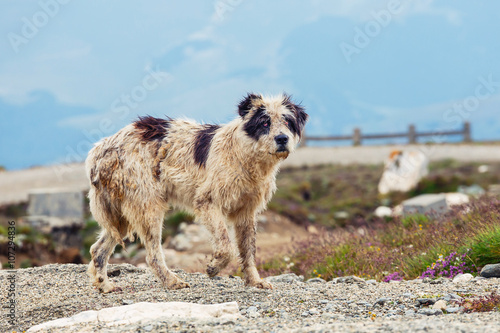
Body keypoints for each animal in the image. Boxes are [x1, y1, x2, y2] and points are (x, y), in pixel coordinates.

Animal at [87, 91, 308, 290]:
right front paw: (214, 267)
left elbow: (248, 251)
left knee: (97, 250)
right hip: (147, 207)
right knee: (152, 255)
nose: (282, 139)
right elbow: (226, 247)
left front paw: (255, 281)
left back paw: (105, 285)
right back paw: (172, 281)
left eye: (288, 121)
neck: (245, 155)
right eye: (264, 122)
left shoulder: (246, 211)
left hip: (121, 216)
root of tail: (101, 149)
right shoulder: (207, 202)